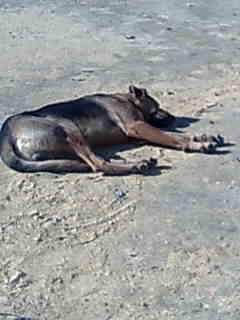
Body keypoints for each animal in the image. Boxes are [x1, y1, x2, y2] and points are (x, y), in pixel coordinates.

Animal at [0, 85, 225, 175]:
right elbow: (173, 138)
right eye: (157, 107)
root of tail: (6, 134)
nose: (173, 118)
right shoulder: (137, 126)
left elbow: (173, 134)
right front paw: (197, 144)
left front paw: (203, 135)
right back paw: (136, 165)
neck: (125, 99)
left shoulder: (140, 131)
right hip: (68, 129)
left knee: (91, 162)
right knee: (98, 164)